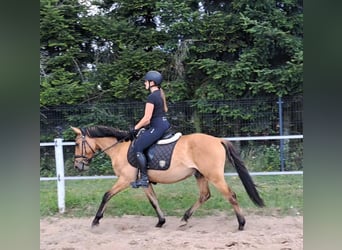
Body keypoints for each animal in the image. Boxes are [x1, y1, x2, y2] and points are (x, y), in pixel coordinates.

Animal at [72, 125, 264, 230]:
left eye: (77, 143)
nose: (77, 166)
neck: (120, 148)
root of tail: (218, 140)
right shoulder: (144, 182)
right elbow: (154, 201)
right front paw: (161, 221)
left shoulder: (125, 180)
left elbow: (106, 195)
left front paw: (96, 221)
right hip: (200, 175)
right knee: (205, 195)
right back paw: (185, 219)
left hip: (214, 176)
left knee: (230, 196)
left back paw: (241, 224)